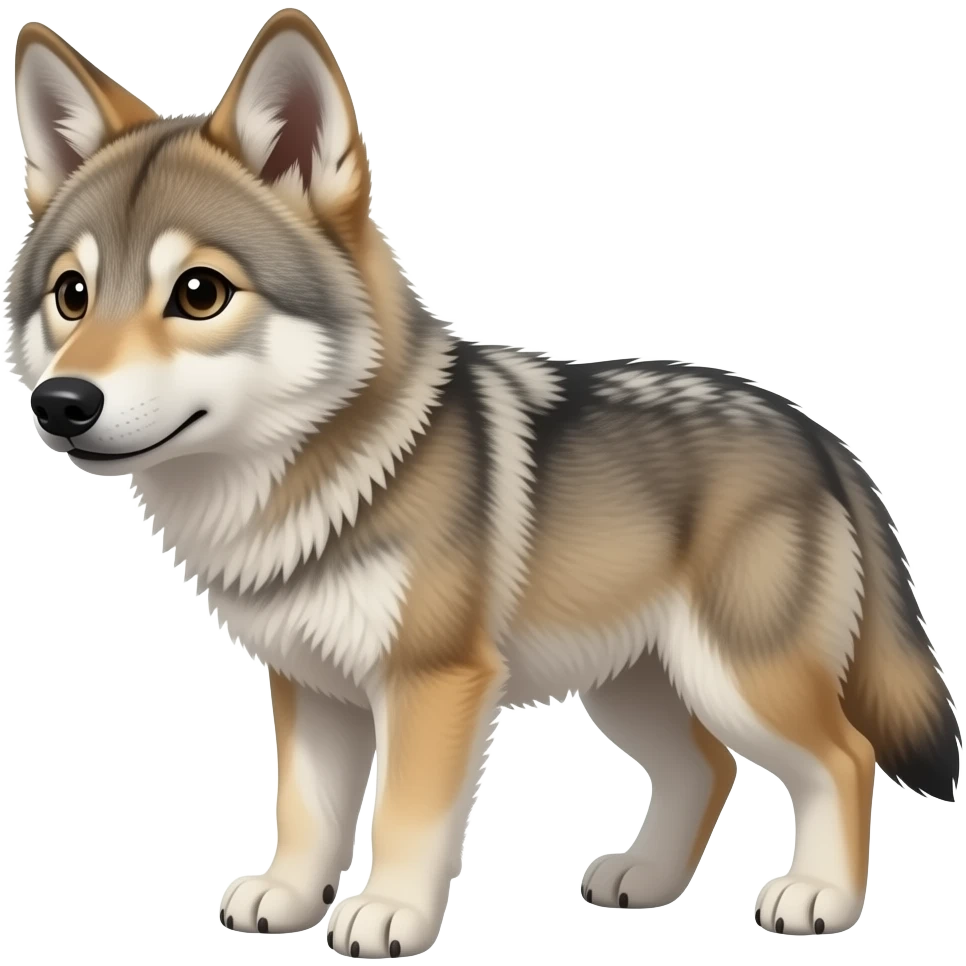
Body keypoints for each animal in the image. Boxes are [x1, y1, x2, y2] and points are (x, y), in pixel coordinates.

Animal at [5, 8, 961, 956]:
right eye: (72, 295)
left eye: (200, 292)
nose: (62, 403)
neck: (310, 481)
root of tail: (818, 436)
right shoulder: (312, 685)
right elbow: (306, 811)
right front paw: (288, 896)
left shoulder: (435, 682)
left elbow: (404, 815)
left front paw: (387, 913)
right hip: (633, 685)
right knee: (709, 766)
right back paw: (647, 881)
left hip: (738, 677)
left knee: (843, 757)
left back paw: (819, 897)